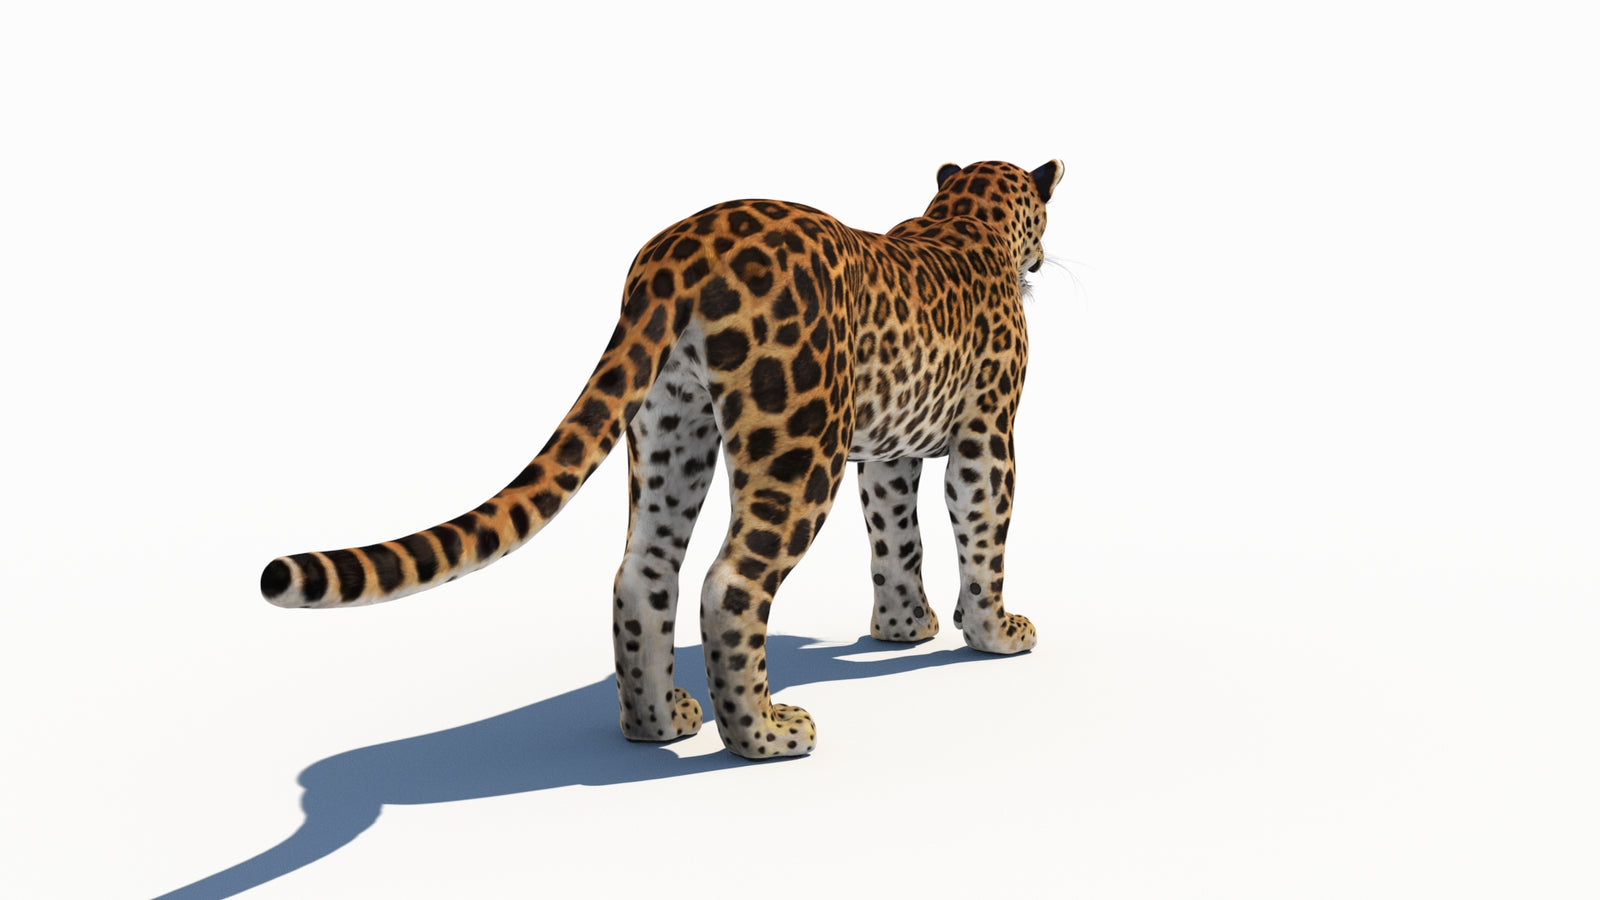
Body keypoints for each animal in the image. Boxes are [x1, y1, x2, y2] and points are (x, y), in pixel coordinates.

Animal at [260, 159, 1065, 759]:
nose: (1043, 257)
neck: (965, 219)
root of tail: (684, 249)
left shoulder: (889, 453)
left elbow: (897, 540)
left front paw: (904, 628)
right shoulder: (985, 435)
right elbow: (981, 536)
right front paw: (995, 634)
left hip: (668, 427)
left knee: (641, 572)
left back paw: (657, 723)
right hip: (799, 445)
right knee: (731, 583)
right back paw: (763, 734)